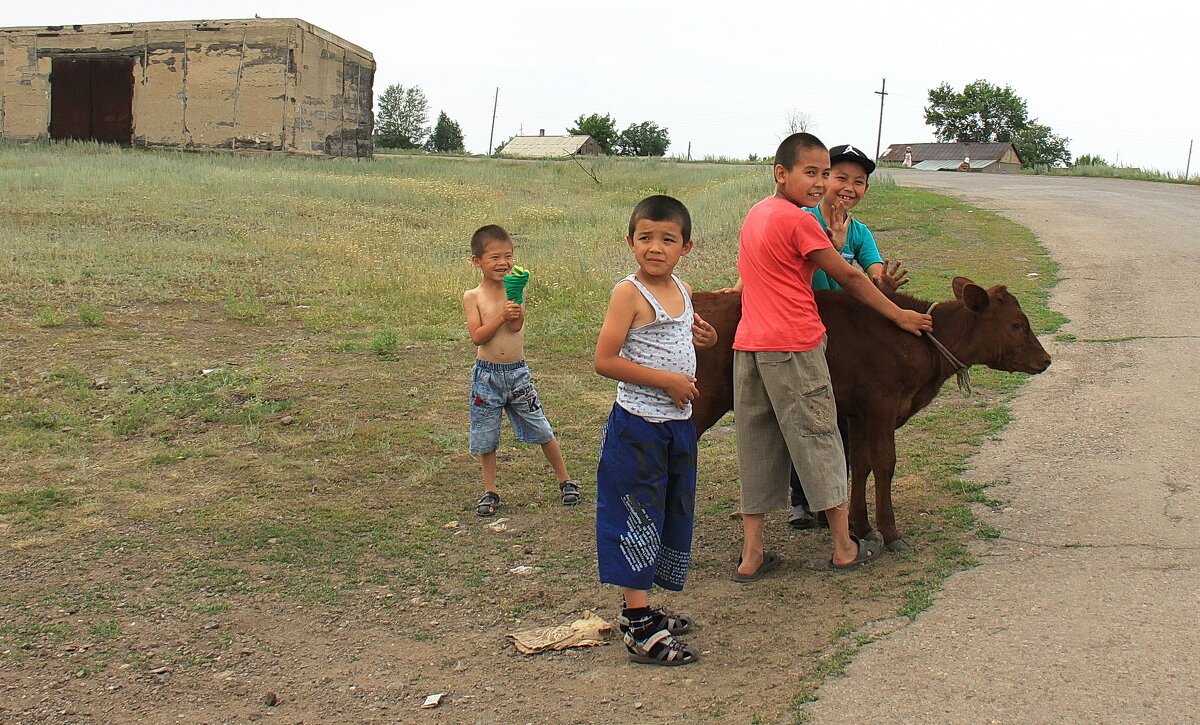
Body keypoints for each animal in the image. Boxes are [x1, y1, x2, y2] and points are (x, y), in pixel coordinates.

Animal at [696, 277, 1051, 549]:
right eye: (1017, 324)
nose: (1046, 360)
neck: (922, 347)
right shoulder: (883, 405)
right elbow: (884, 464)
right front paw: (890, 533)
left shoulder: (859, 412)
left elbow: (861, 463)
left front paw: (862, 526)